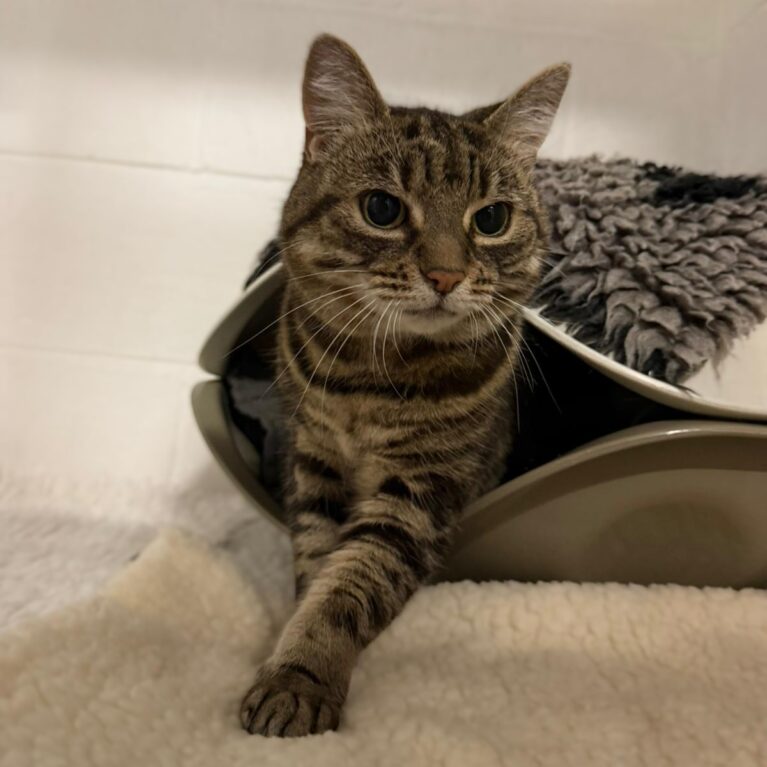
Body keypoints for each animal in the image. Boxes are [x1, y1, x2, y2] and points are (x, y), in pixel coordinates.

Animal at [240, 33, 570, 737]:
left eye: (492, 219)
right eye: (382, 209)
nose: (446, 276)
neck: (367, 380)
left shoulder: (422, 491)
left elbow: (351, 584)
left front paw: (298, 679)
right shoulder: (314, 464)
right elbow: (317, 563)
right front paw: (291, 645)